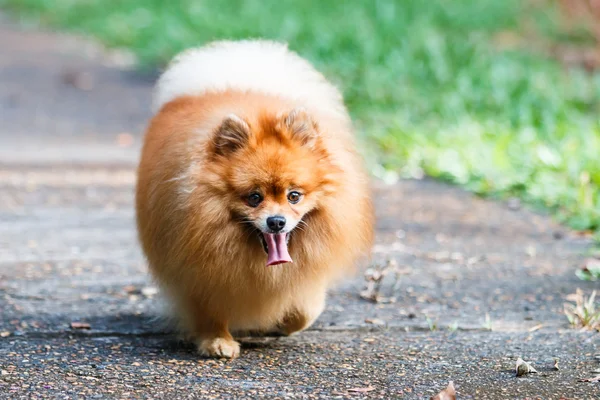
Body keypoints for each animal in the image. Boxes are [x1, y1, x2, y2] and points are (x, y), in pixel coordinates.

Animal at [135, 40, 376, 358]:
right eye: (253, 197)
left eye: (294, 196)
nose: (276, 222)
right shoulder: (195, 266)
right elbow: (208, 308)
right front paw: (217, 340)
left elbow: (304, 307)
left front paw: (287, 321)